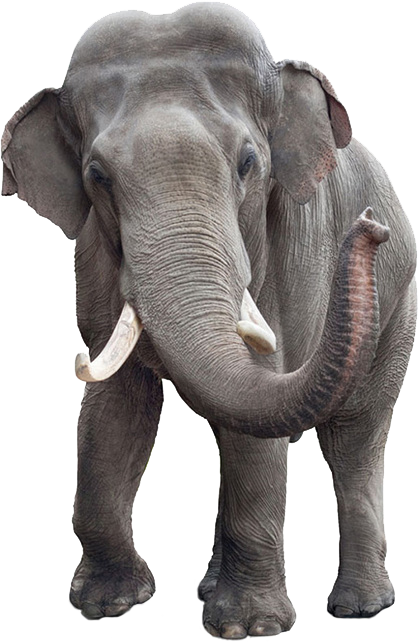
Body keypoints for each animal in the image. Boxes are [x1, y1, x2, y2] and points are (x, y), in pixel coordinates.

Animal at [2, 2, 417, 638]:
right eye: (97, 177)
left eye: (248, 163)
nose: (370, 227)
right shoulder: (94, 260)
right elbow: (115, 409)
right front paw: (107, 607)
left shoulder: (292, 250)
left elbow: (260, 397)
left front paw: (248, 627)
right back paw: (210, 588)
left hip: (399, 304)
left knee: (355, 439)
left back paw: (359, 609)